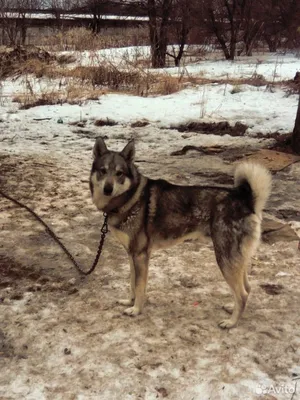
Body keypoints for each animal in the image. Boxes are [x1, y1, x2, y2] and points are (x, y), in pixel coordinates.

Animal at [89, 138, 272, 328]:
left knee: (242, 294)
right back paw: (231, 308)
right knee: (247, 288)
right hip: (236, 259)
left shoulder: (140, 255)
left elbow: (139, 286)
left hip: (225, 258)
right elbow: (132, 282)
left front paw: (136, 309)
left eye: (119, 173)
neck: (129, 198)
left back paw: (231, 322)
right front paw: (129, 302)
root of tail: (247, 201)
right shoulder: (132, 254)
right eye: (103, 171)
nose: (107, 189)